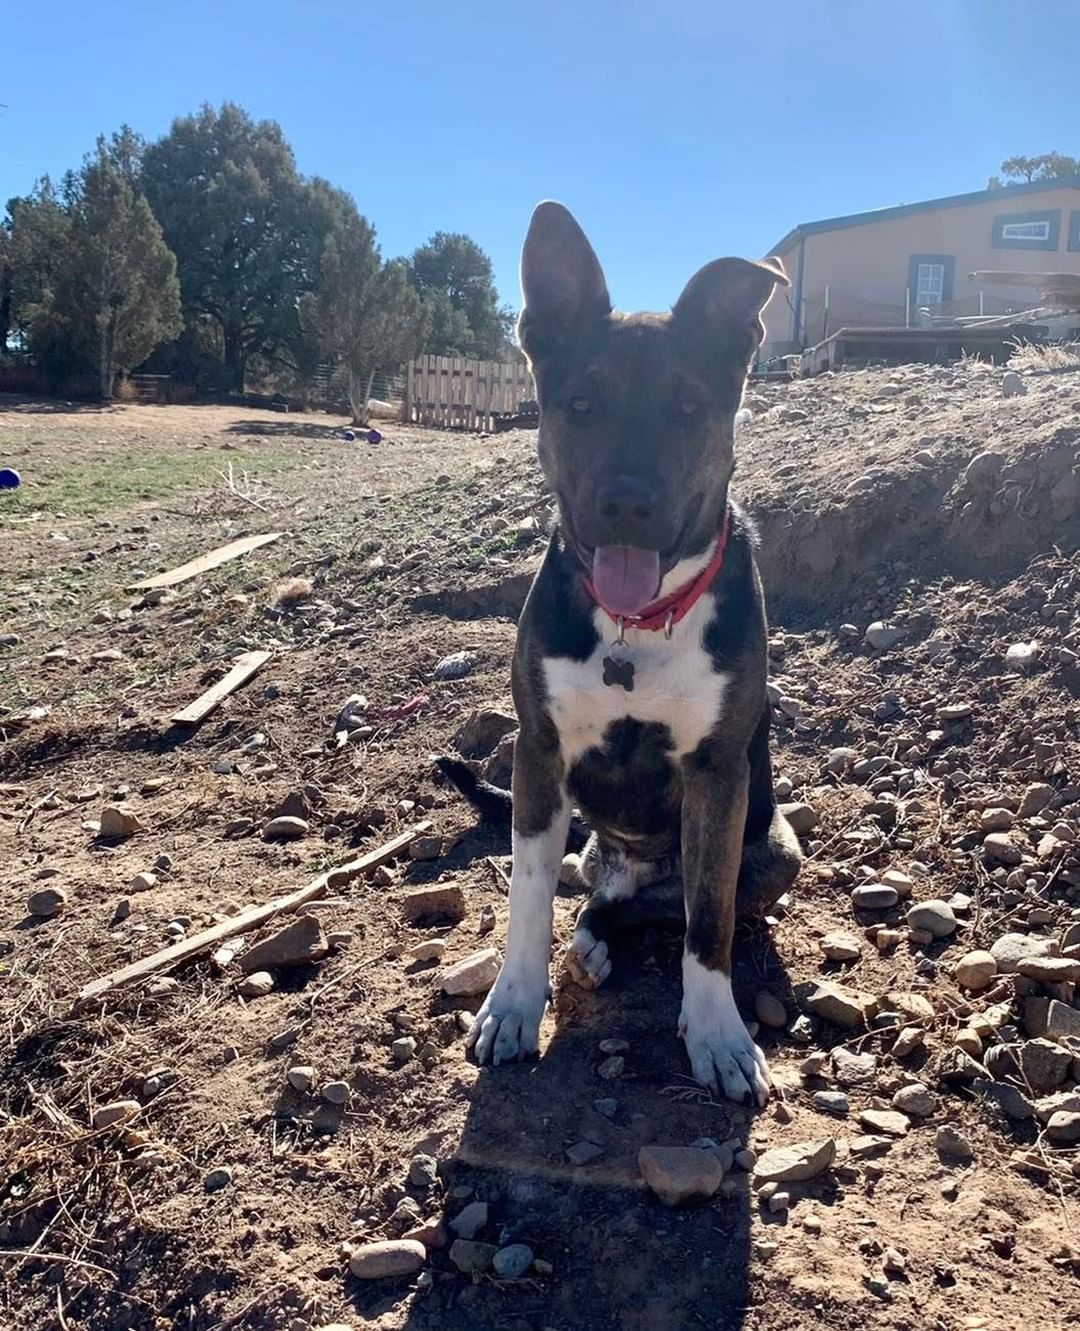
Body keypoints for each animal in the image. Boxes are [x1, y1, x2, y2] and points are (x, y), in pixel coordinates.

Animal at [436, 204, 804, 1102]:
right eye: (582, 402)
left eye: (687, 406)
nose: (627, 503)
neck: (638, 624)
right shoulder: (538, 755)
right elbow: (528, 898)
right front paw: (514, 1004)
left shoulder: (718, 777)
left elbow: (708, 923)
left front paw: (717, 1032)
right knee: (599, 895)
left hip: (775, 849)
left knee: (662, 907)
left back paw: (610, 933)